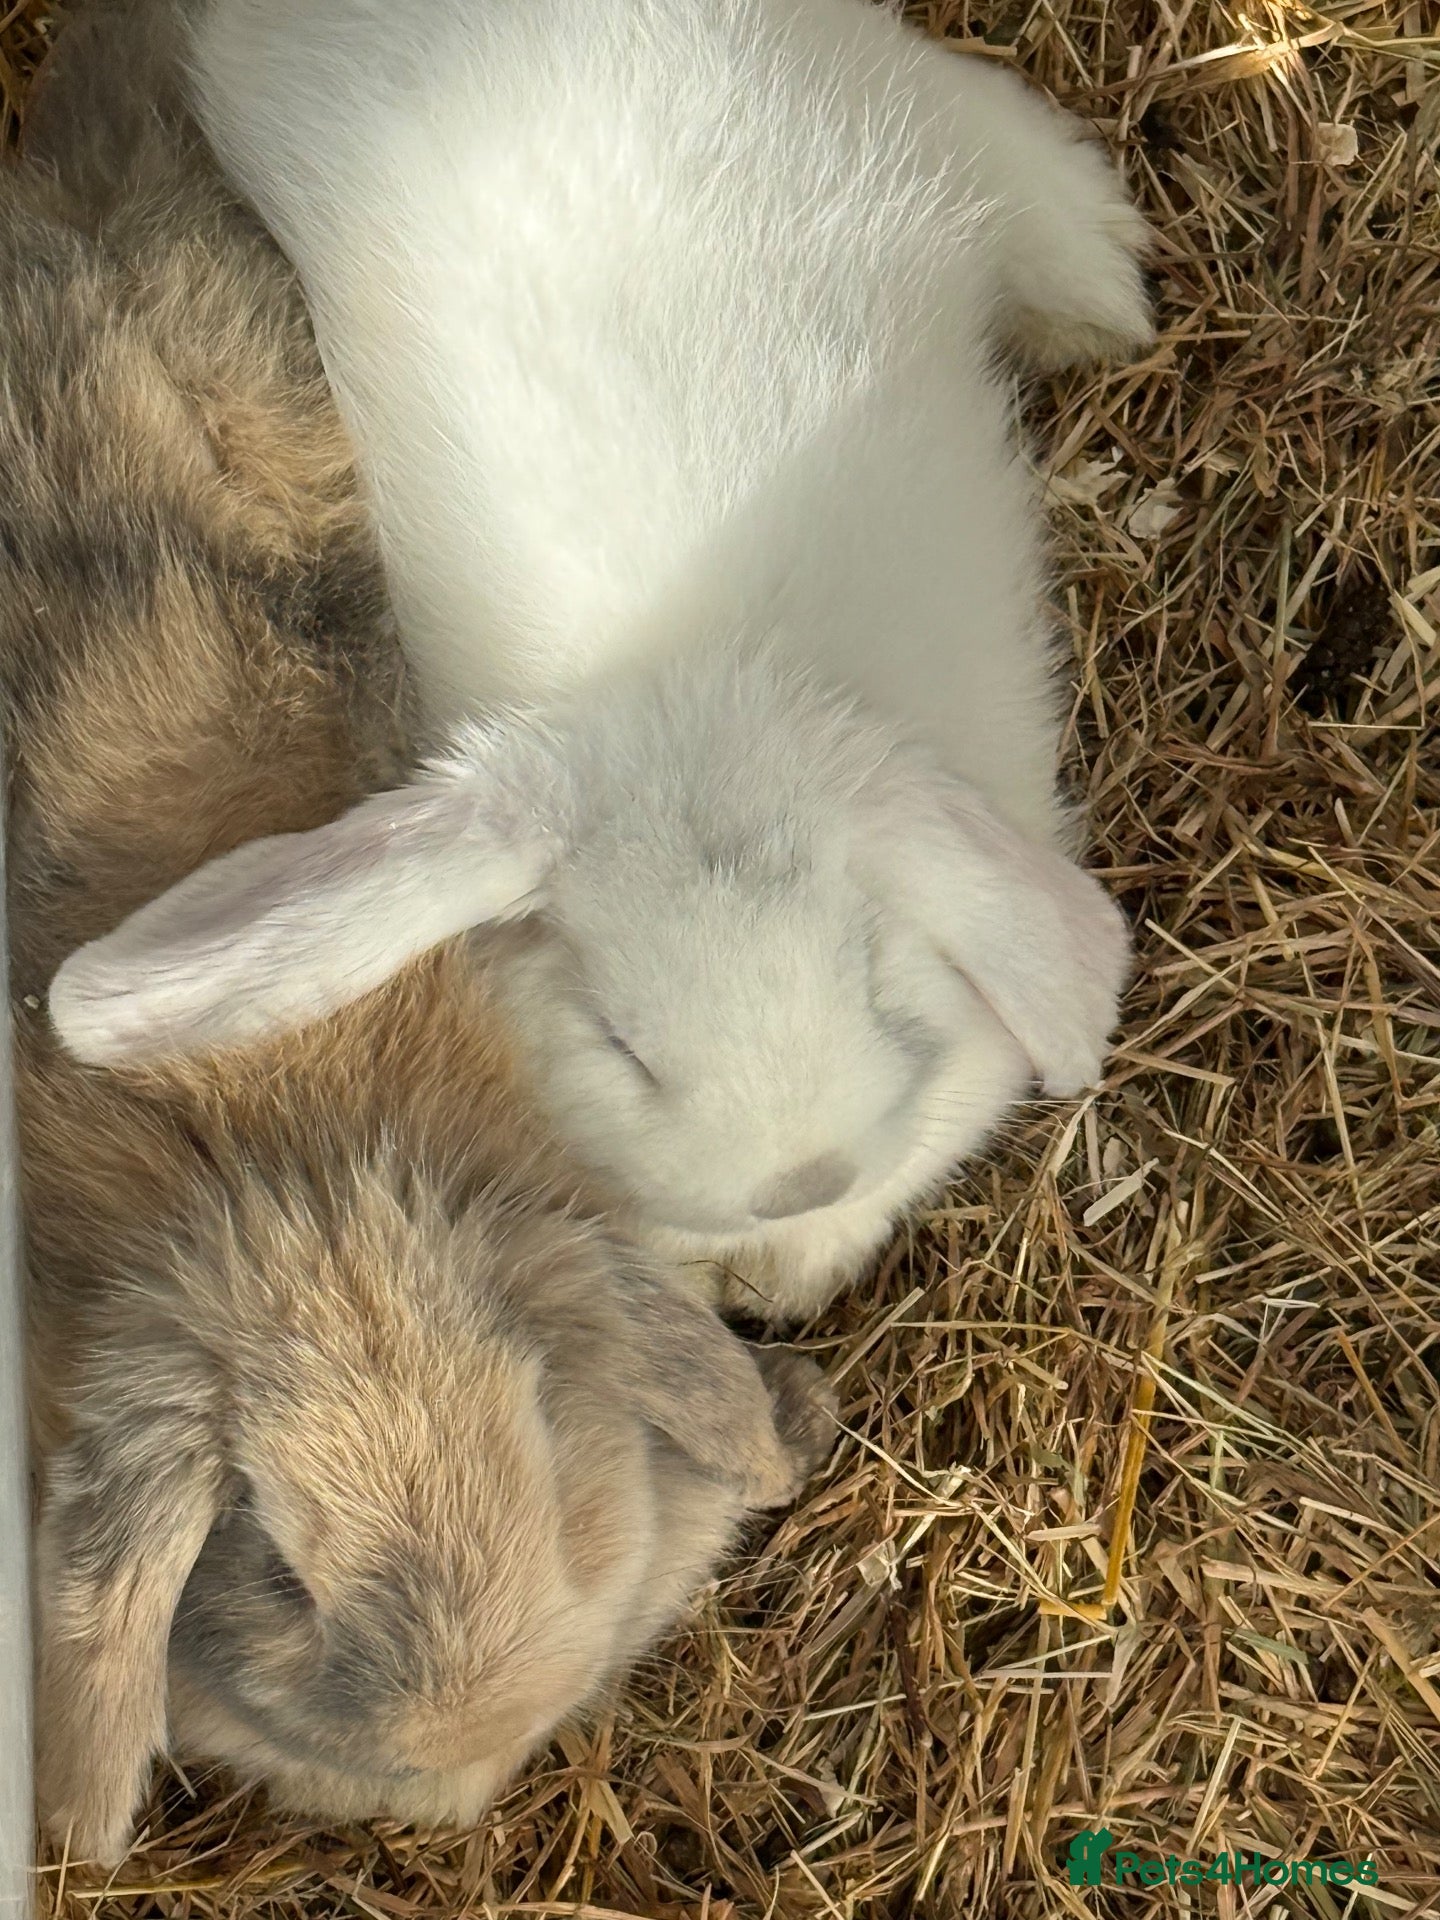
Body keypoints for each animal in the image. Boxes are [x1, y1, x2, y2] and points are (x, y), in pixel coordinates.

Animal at [57, 0, 1148, 1325]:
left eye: (869, 971)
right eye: (621, 1041)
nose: (799, 1178)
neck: (698, 668)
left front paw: (805, 1260)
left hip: (866, 88)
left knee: (987, 127)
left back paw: (1102, 286)